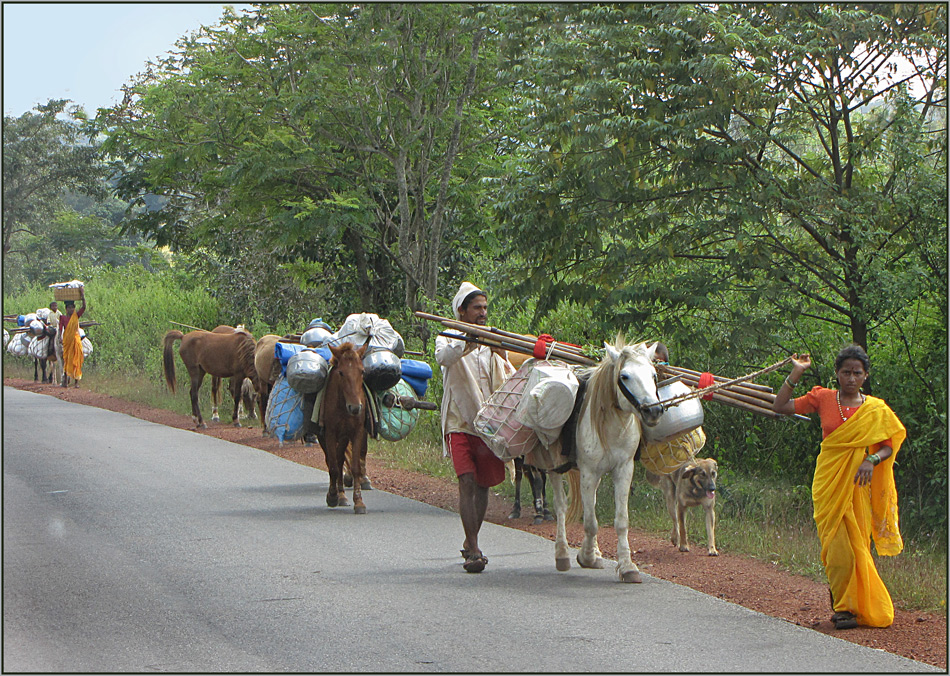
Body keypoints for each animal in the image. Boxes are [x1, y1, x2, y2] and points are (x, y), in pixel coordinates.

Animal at [316, 340, 368, 516]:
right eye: (341, 373)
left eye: (362, 371)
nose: (355, 407)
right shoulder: (329, 433)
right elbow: (332, 466)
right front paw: (332, 496)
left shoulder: (356, 432)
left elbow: (354, 467)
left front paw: (359, 502)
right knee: (332, 461)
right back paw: (337, 494)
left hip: (344, 437)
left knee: (339, 460)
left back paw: (342, 494)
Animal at [552, 338, 660, 580]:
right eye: (625, 376)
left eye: (653, 374)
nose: (654, 411)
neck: (612, 427)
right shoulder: (588, 472)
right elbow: (590, 523)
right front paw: (587, 557)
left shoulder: (623, 470)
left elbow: (621, 521)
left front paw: (627, 566)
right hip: (551, 466)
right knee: (561, 505)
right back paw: (562, 553)